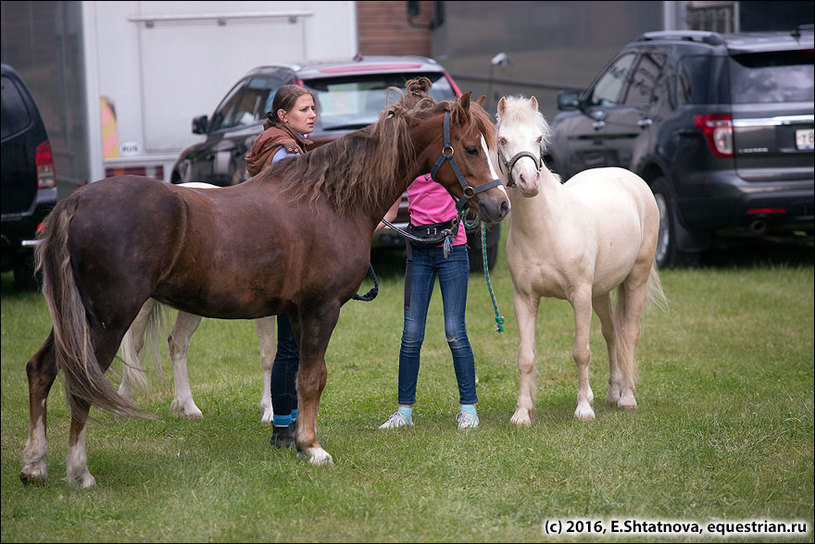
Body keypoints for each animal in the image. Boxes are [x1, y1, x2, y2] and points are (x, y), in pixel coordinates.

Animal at [118, 183, 276, 424]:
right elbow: (269, 355)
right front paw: (269, 411)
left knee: (178, 343)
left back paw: (185, 407)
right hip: (145, 305)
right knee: (135, 347)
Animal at [494, 95, 668, 422]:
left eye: (538, 139)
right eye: (502, 140)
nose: (528, 182)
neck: (546, 227)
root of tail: (631, 178)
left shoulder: (580, 295)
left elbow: (581, 351)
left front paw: (584, 408)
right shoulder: (524, 298)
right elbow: (525, 356)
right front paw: (522, 413)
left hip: (634, 279)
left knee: (628, 333)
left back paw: (627, 398)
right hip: (600, 292)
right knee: (612, 334)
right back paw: (613, 395)